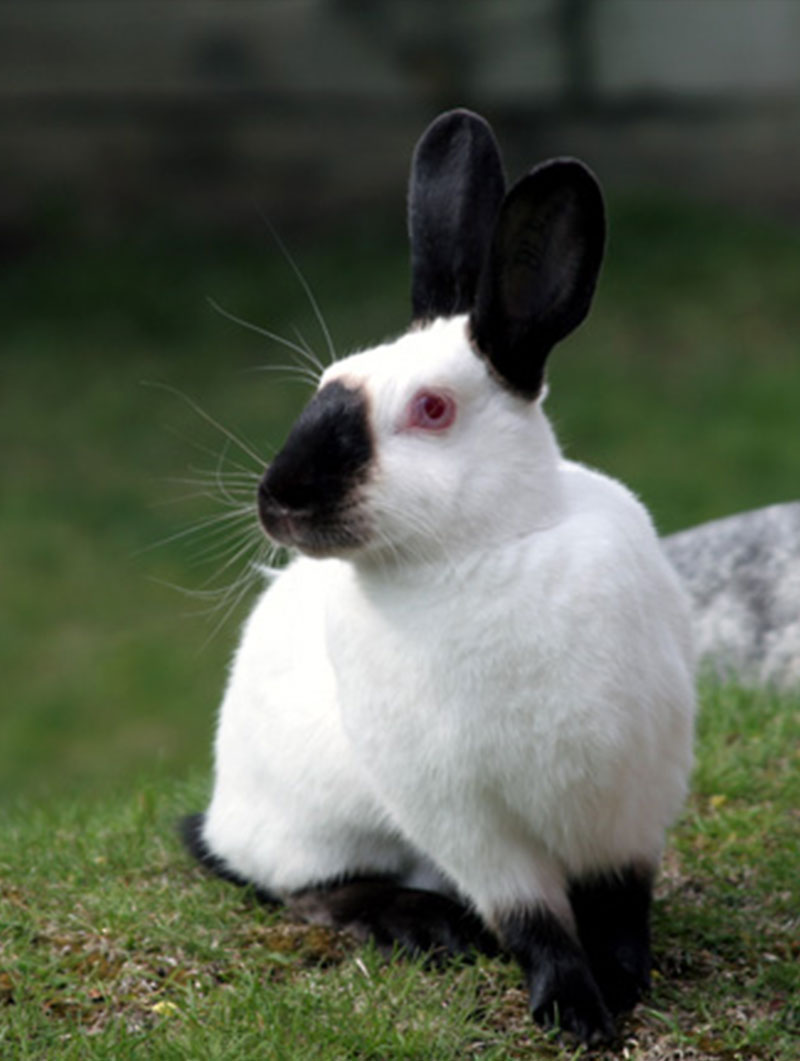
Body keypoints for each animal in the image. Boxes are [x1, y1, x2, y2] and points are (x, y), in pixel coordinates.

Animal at [181, 109, 697, 1045]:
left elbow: (619, 901)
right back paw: (423, 924)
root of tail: (226, 809)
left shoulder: (628, 794)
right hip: (315, 824)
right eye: (324, 384)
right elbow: (533, 918)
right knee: (299, 884)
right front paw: (574, 1010)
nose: (277, 500)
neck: (484, 550)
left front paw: (624, 981)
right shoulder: (467, 819)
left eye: (431, 409)